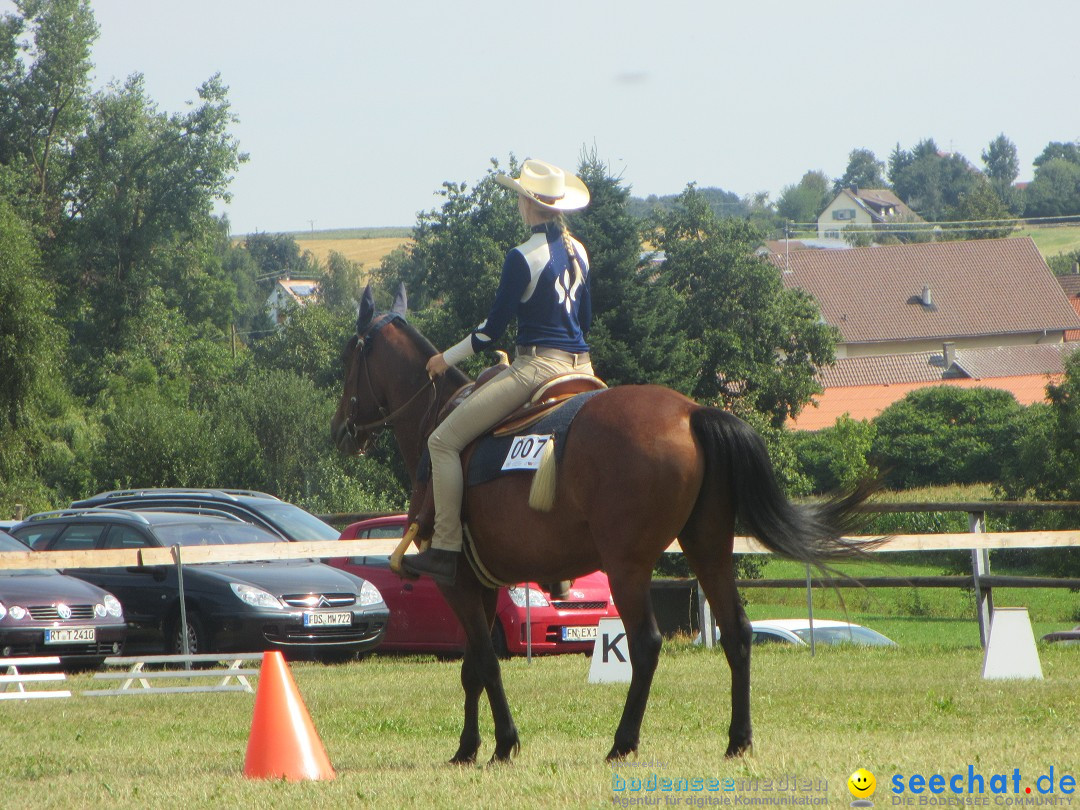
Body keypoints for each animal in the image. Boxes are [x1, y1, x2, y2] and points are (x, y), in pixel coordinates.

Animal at [330, 287, 876, 768]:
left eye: (348, 359)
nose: (340, 431)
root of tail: (691, 412)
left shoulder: (458, 582)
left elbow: (484, 663)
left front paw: (502, 744)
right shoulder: (482, 585)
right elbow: (471, 670)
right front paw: (469, 747)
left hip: (627, 565)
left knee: (646, 643)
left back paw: (622, 742)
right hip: (709, 550)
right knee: (736, 632)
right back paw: (737, 740)